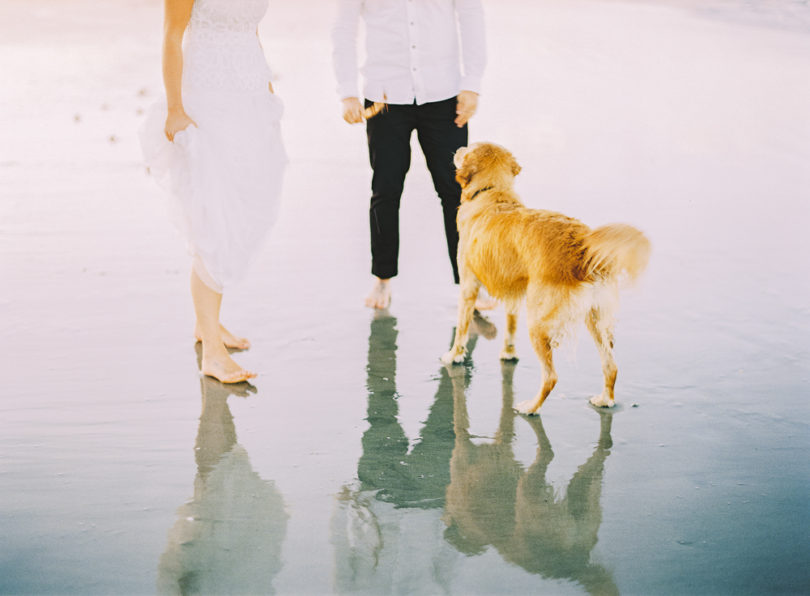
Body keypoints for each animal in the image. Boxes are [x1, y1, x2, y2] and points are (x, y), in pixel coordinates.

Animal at [438, 143, 648, 414]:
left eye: (468, 150)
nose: (458, 147)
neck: (493, 193)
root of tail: (583, 245)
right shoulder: (514, 291)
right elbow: (510, 326)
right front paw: (508, 353)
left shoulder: (468, 285)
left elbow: (462, 327)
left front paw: (454, 355)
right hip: (594, 317)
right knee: (611, 366)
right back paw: (605, 399)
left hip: (538, 323)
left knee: (551, 377)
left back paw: (530, 407)